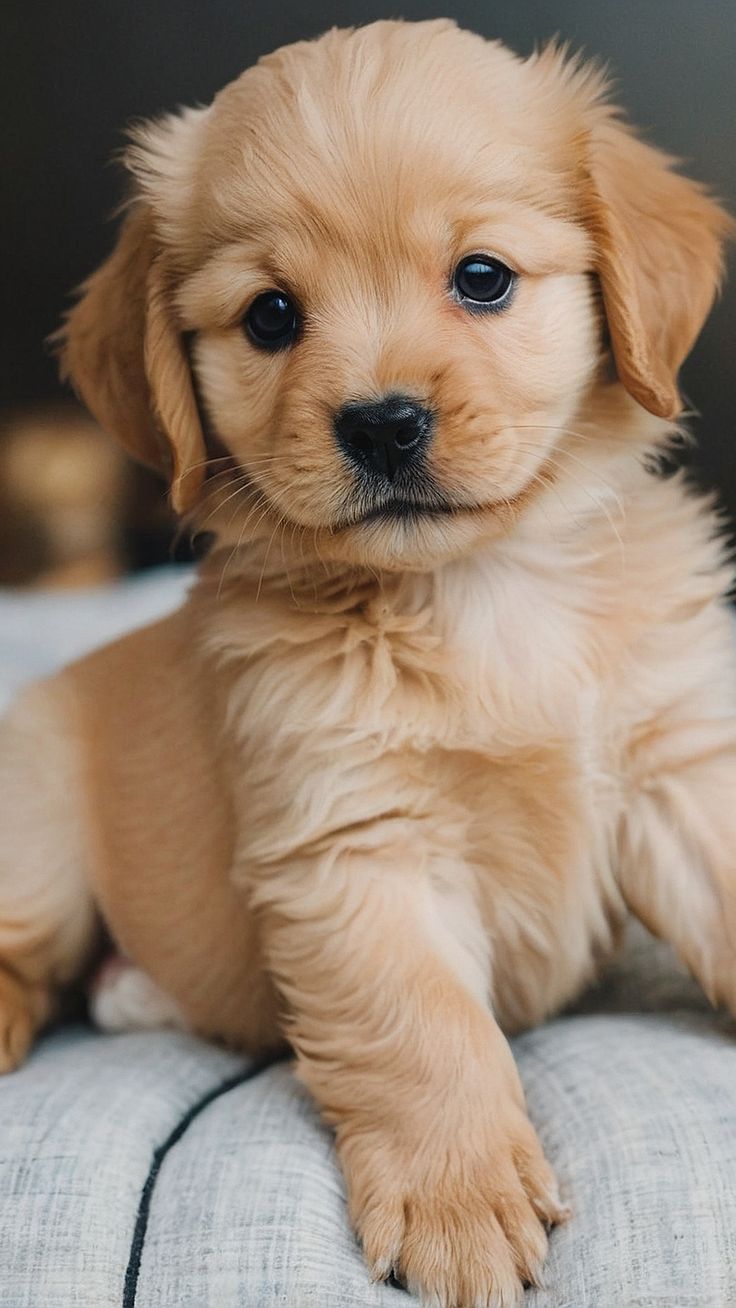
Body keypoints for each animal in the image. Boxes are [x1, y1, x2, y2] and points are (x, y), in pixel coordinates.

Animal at [1, 20, 736, 1308]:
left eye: (482, 276)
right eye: (269, 315)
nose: (382, 423)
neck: (481, 590)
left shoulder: (679, 766)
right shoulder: (354, 845)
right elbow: (423, 1030)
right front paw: (461, 1199)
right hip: (35, 825)